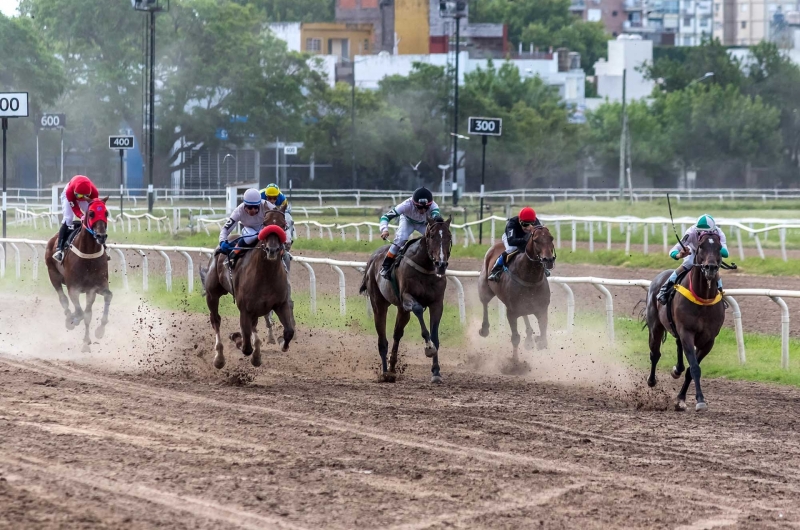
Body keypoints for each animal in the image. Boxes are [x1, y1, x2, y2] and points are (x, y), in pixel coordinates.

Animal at [44, 195, 112, 350]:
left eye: (106, 213)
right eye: (91, 213)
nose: (101, 236)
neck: (88, 255)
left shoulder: (95, 287)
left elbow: (95, 308)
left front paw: (98, 332)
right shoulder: (73, 288)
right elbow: (81, 312)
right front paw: (73, 320)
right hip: (53, 274)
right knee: (62, 298)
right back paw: (69, 318)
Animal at [200, 204, 296, 370]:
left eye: (283, 225)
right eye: (264, 224)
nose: (272, 250)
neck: (266, 275)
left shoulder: (280, 303)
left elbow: (289, 331)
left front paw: (282, 343)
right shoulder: (245, 309)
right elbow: (246, 347)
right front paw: (238, 339)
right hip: (212, 294)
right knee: (216, 320)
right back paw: (219, 358)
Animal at [476, 226, 556, 368]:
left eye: (551, 238)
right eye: (536, 240)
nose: (549, 260)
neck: (530, 278)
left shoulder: (541, 309)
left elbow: (543, 336)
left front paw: (537, 340)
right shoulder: (511, 312)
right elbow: (515, 338)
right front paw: (515, 363)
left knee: (525, 315)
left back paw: (529, 338)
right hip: (485, 287)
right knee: (484, 303)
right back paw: (484, 329)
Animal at [644, 233, 724, 410]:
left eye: (719, 247)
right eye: (701, 246)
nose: (710, 268)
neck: (703, 299)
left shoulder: (709, 340)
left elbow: (691, 369)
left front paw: (681, 398)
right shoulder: (687, 332)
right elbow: (694, 367)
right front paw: (700, 400)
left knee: (677, 345)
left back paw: (676, 370)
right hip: (655, 326)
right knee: (655, 353)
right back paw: (651, 380)